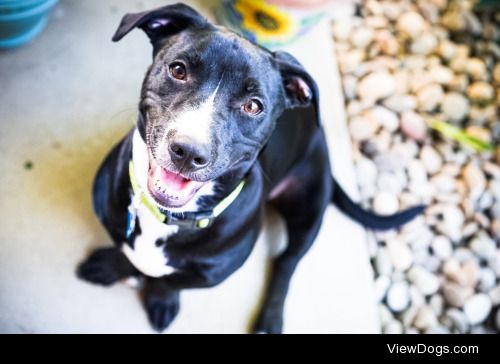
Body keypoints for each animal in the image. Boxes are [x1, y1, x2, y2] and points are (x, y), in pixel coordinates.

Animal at [76, 2, 424, 334]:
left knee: (286, 262)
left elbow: (169, 281)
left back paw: (270, 317)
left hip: (310, 210)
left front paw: (160, 297)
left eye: (253, 106)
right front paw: (115, 267)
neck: (170, 218)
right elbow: (127, 254)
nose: (188, 152)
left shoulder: (210, 274)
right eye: (178, 70)